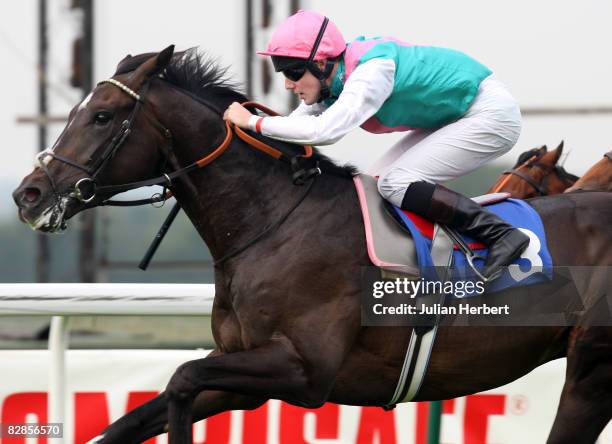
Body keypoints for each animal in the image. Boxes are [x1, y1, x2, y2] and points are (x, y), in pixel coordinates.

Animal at [10, 46, 612, 442]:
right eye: (73, 112)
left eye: (102, 116)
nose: (28, 194)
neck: (274, 223)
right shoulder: (244, 371)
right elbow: (136, 416)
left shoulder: (305, 370)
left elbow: (181, 379)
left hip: (590, 372)